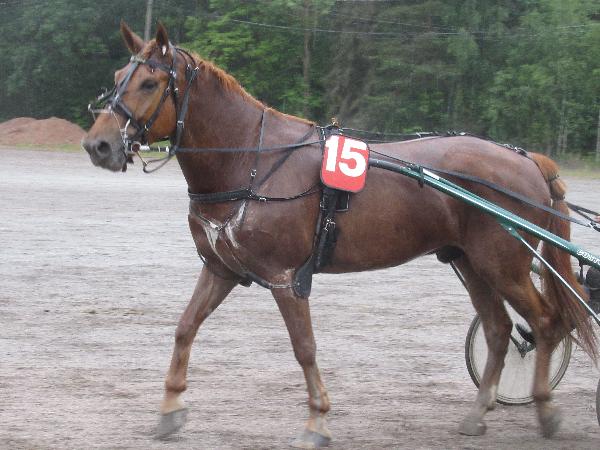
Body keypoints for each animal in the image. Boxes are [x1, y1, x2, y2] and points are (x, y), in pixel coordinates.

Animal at [82, 22, 596, 447]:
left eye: (150, 82)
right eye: (117, 75)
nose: (98, 144)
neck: (253, 160)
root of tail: (528, 160)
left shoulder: (285, 277)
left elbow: (304, 347)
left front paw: (317, 422)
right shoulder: (221, 268)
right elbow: (185, 327)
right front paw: (169, 409)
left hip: (502, 262)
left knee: (546, 322)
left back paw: (546, 411)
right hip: (470, 261)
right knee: (498, 329)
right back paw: (477, 415)